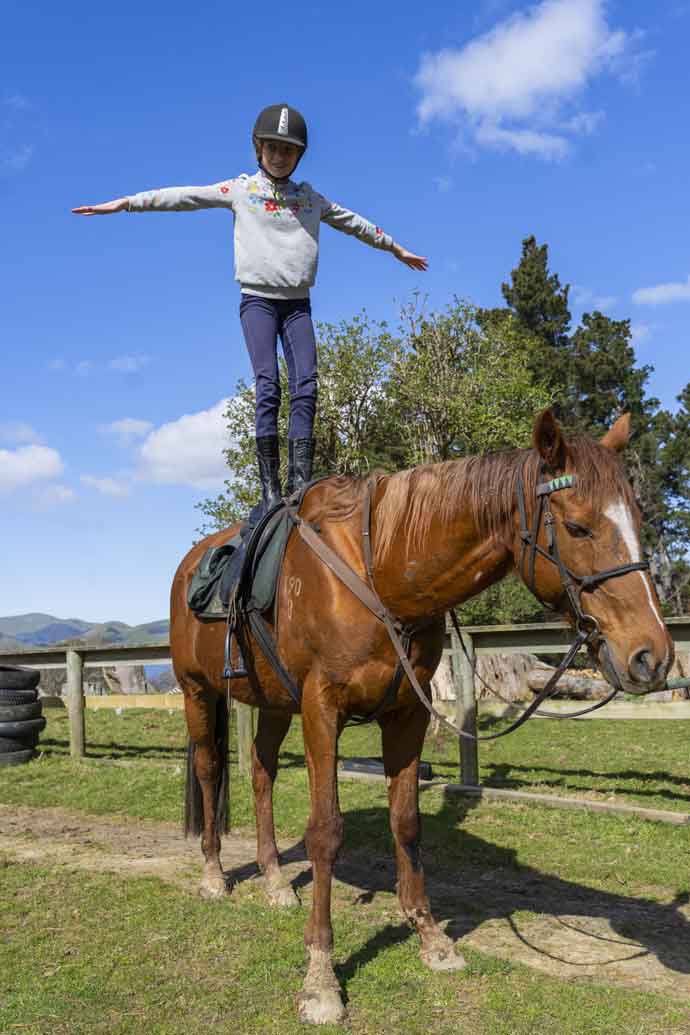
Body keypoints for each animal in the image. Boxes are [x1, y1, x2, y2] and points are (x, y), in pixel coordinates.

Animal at [169, 411, 670, 1026]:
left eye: (639, 520)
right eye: (577, 528)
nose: (652, 656)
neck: (380, 570)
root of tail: (189, 566)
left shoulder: (406, 714)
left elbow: (406, 823)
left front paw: (430, 936)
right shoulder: (321, 710)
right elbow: (324, 831)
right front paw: (321, 977)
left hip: (271, 703)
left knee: (261, 773)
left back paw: (274, 881)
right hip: (198, 693)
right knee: (211, 771)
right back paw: (214, 875)